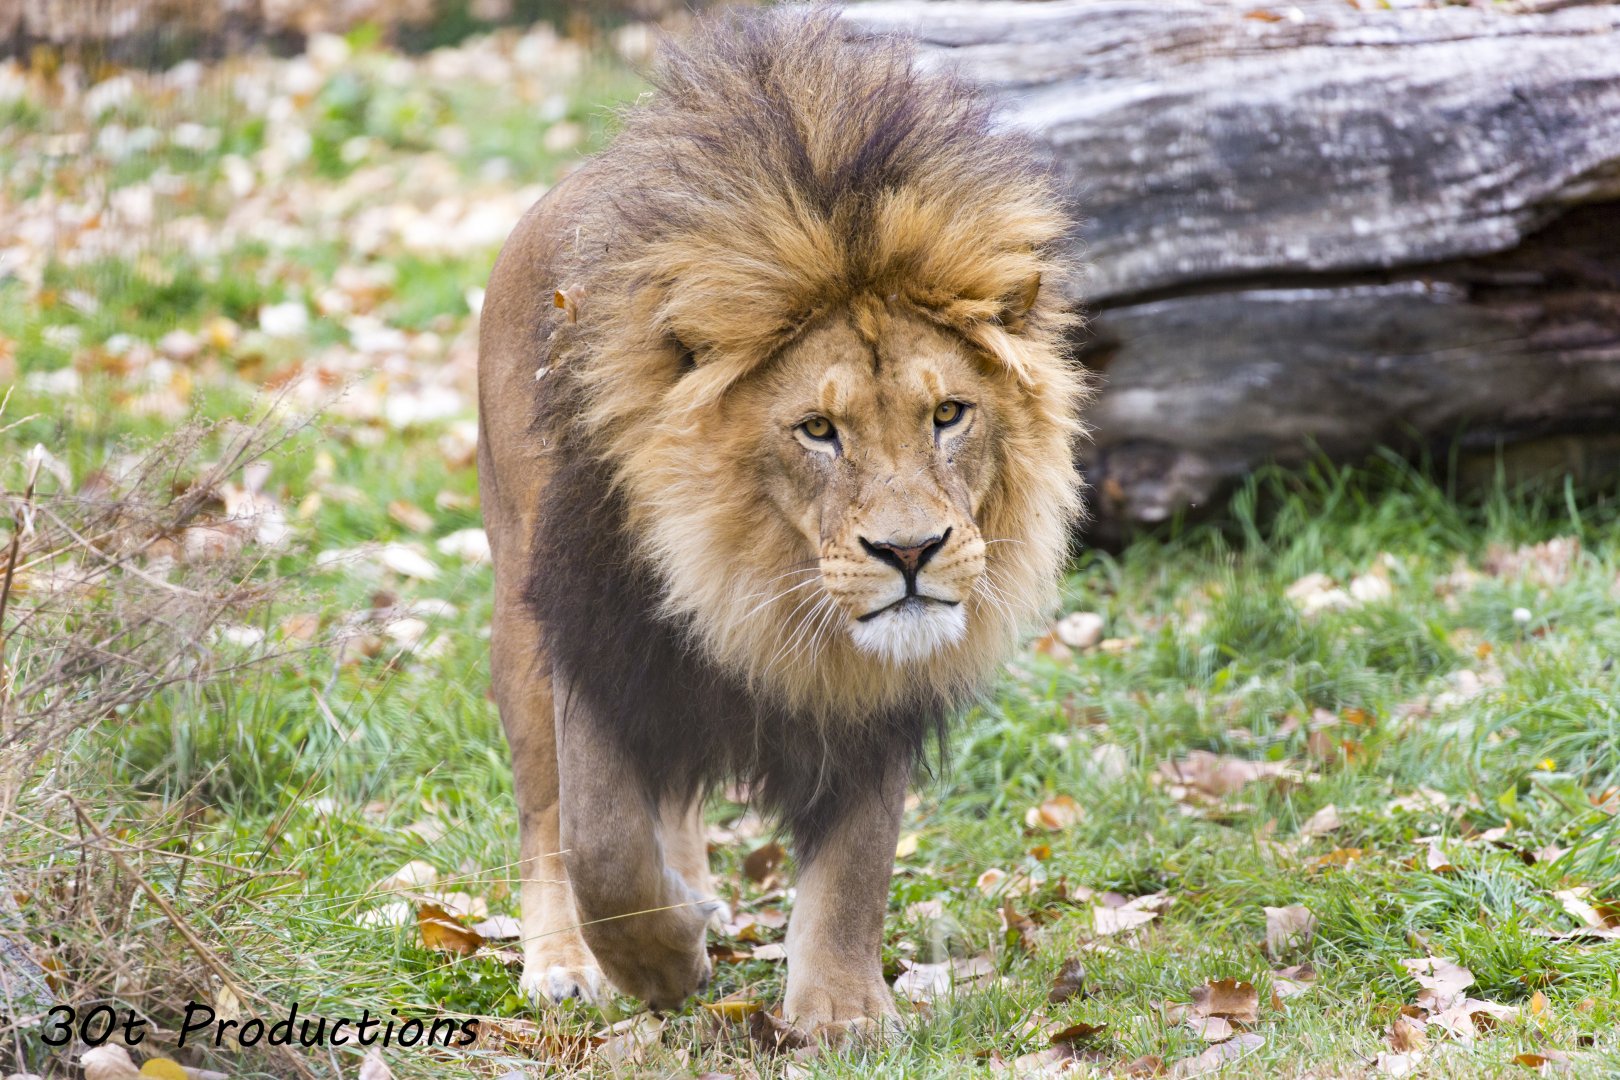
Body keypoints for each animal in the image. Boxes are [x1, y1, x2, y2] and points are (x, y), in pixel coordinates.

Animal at [476, 6, 1088, 1032]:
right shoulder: (597, 632)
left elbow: (855, 867)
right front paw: (660, 964)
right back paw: (572, 957)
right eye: (817, 430)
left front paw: (841, 1013)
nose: (912, 551)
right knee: (545, 813)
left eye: (949, 414)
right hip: (518, 607)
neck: (757, 581)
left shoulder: (877, 701)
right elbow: (601, 842)